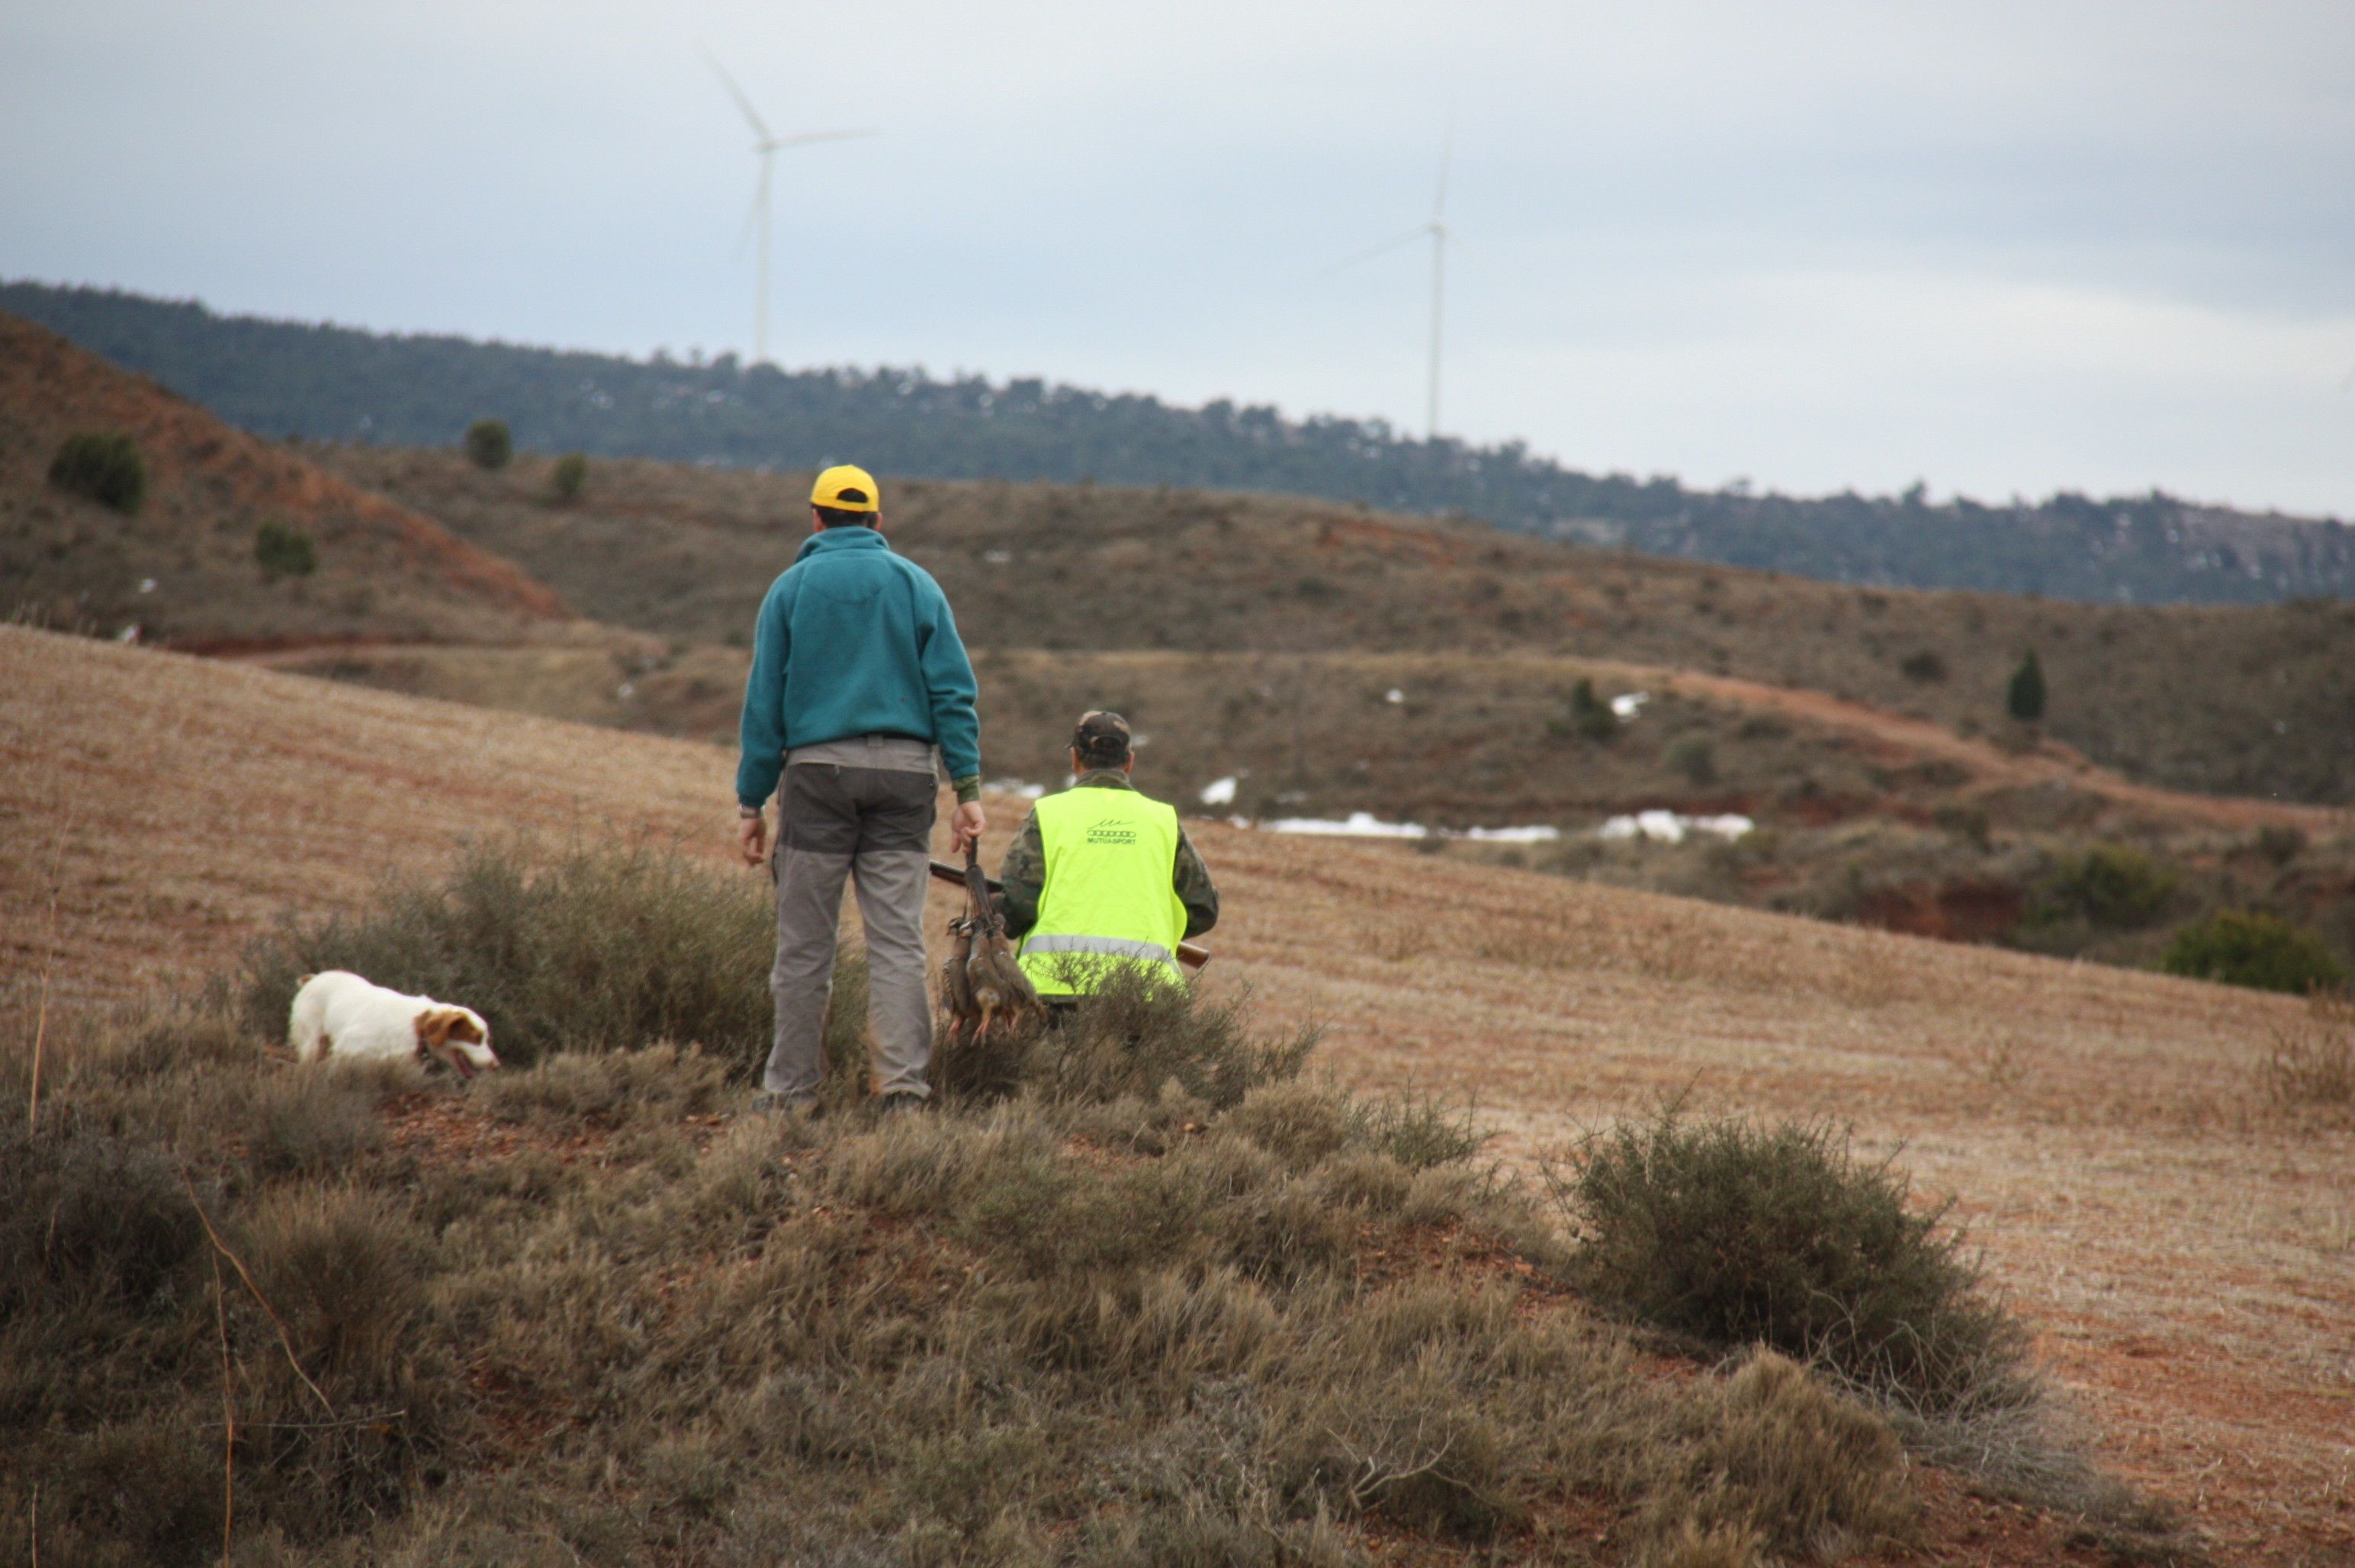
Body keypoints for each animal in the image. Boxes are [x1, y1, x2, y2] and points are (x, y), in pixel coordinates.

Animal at [289, 965, 501, 1073]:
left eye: (487, 1040)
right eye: (475, 1038)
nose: (496, 1065)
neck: (417, 1030)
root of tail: (313, 979)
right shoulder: (348, 1049)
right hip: (312, 1043)